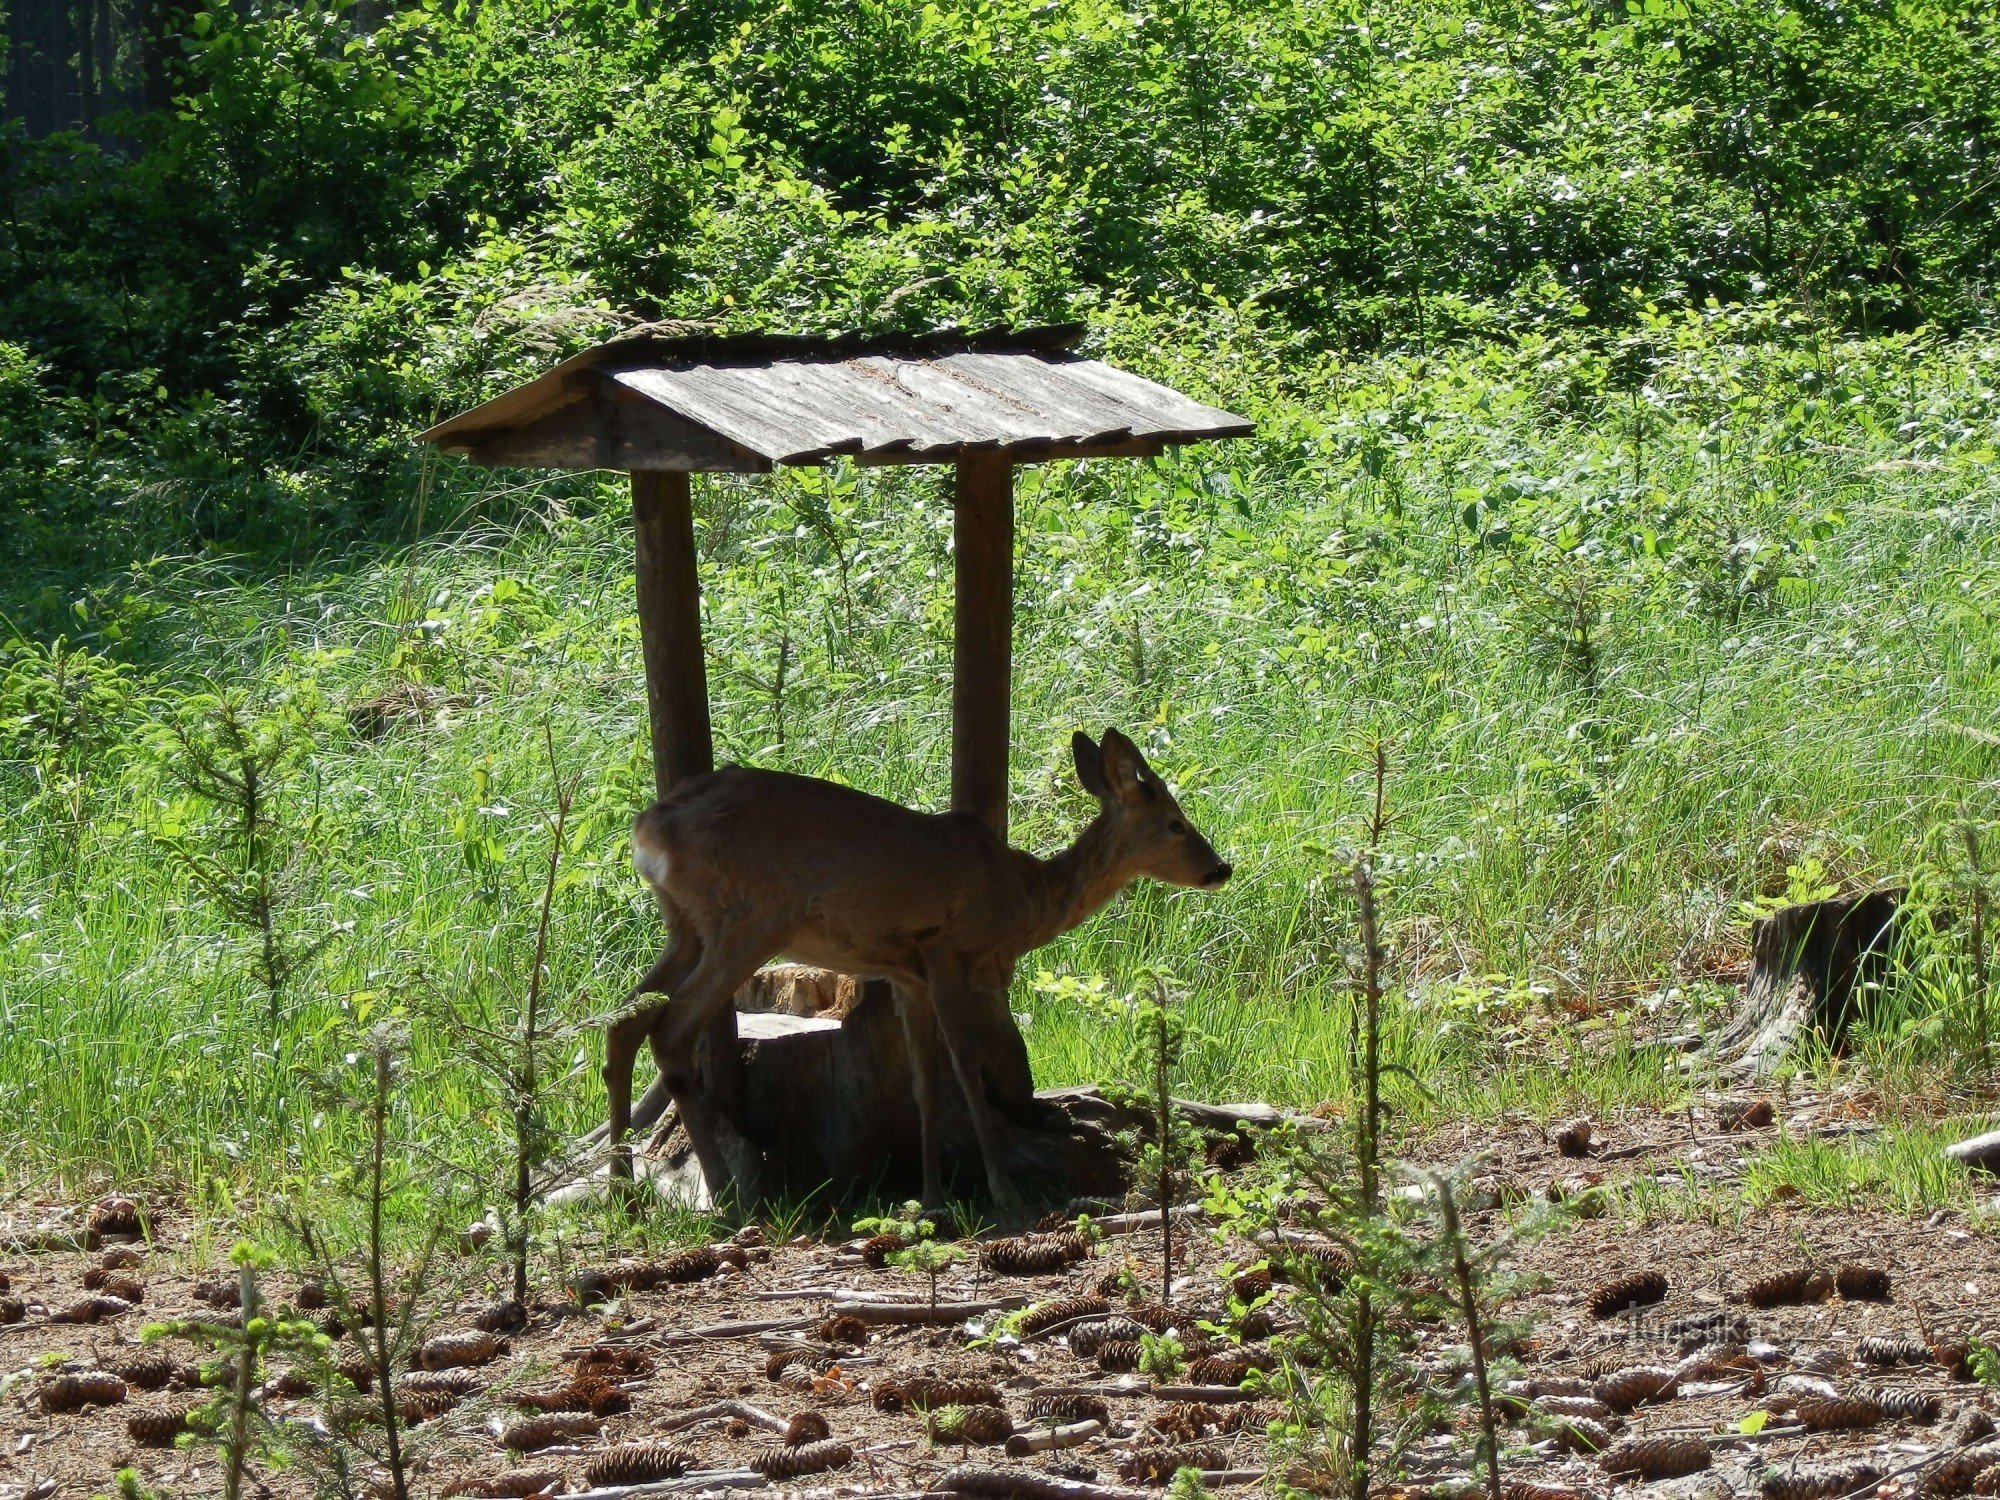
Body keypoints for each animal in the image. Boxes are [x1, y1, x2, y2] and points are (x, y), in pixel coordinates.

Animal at [608, 728, 1232, 1208]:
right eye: (1176, 823)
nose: (1220, 868)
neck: (1025, 898)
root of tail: (646, 829)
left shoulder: (907, 974)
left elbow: (923, 1083)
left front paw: (931, 1195)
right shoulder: (948, 950)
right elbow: (965, 1070)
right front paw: (1002, 1191)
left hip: (685, 925)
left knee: (625, 1020)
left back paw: (622, 1182)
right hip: (751, 917)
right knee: (671, 1028)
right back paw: (722, 1189)